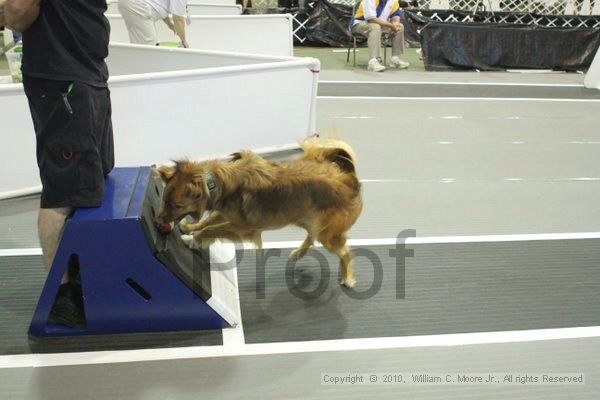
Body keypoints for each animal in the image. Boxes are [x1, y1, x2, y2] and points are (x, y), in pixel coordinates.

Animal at [156, 138, 360, 288]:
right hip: (303, 217)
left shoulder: (243, 228)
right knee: (312, 236)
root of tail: (349, 178)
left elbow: (210, 230)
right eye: (164, 199)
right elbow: (208, 221)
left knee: (345, 252)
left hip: (327, 234)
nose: (157, 222)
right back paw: (299, 253)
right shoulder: (226, 214)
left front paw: (193, 239)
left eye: (177, 205)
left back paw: (348, 277)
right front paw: (190, 228)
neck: (215, 183)